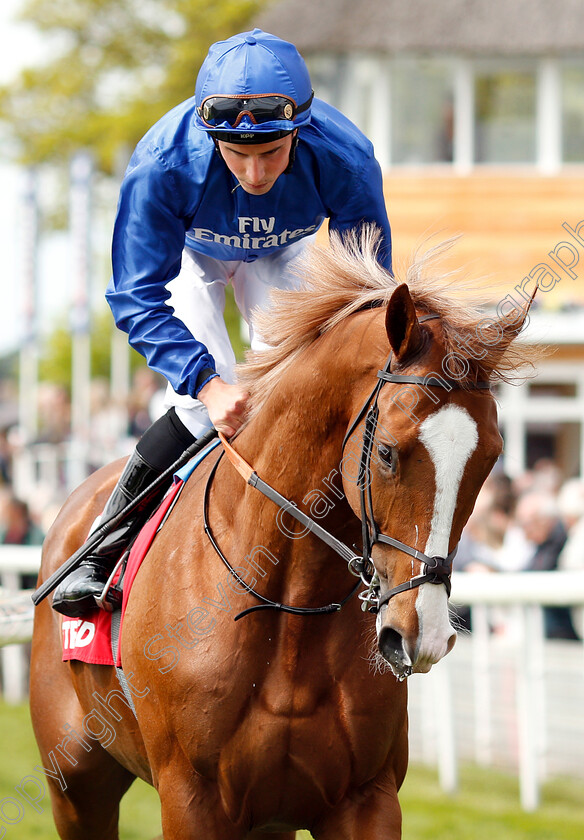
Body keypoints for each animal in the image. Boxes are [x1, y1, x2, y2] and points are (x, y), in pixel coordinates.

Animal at [30, 231, 528, 840]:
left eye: (490, 458)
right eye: (388, 452)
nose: (422, 635)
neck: (291, 608)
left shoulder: (364, 797)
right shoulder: (191, 799)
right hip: (76, 784)